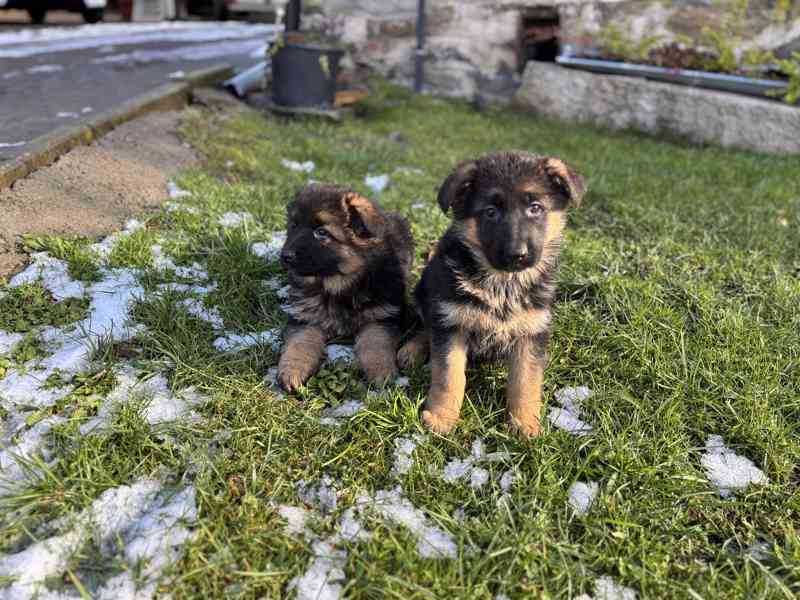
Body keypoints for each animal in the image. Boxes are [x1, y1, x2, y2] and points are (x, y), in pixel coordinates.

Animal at [280, 183, 416, 392]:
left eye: (322, 232)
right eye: (293, 226)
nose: (285, 256)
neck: (339, 285)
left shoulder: (380, 317)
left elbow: (376, 344)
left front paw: (381, 372)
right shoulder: (306, 317)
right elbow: (299, 343)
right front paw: (292, 370)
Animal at [396, 152, 584, 436]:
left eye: (535, 208)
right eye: (490, 212)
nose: (517, 255)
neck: (503, 285)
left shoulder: (532, 331)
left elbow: (526, 382)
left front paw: (525, 423)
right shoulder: (452, 323)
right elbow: (448, 377)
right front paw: (442, 417)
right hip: (426, 289)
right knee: (427, 326)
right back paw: (412, 349)